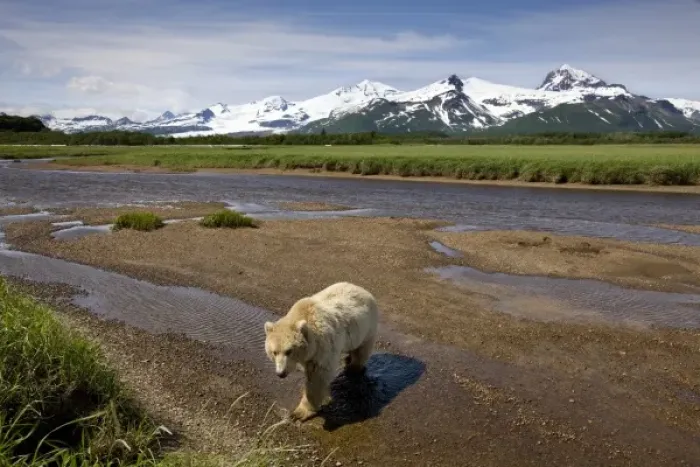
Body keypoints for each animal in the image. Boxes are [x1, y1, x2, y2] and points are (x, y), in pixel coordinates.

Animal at [263, 281, 379, 422]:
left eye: (289, 351)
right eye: (274, 352)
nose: (280, 373)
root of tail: (362, 289)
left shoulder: (323, 347)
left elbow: (318, 377)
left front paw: (301, 412)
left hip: (365, 327)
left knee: (362, 350)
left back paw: (354, 367)